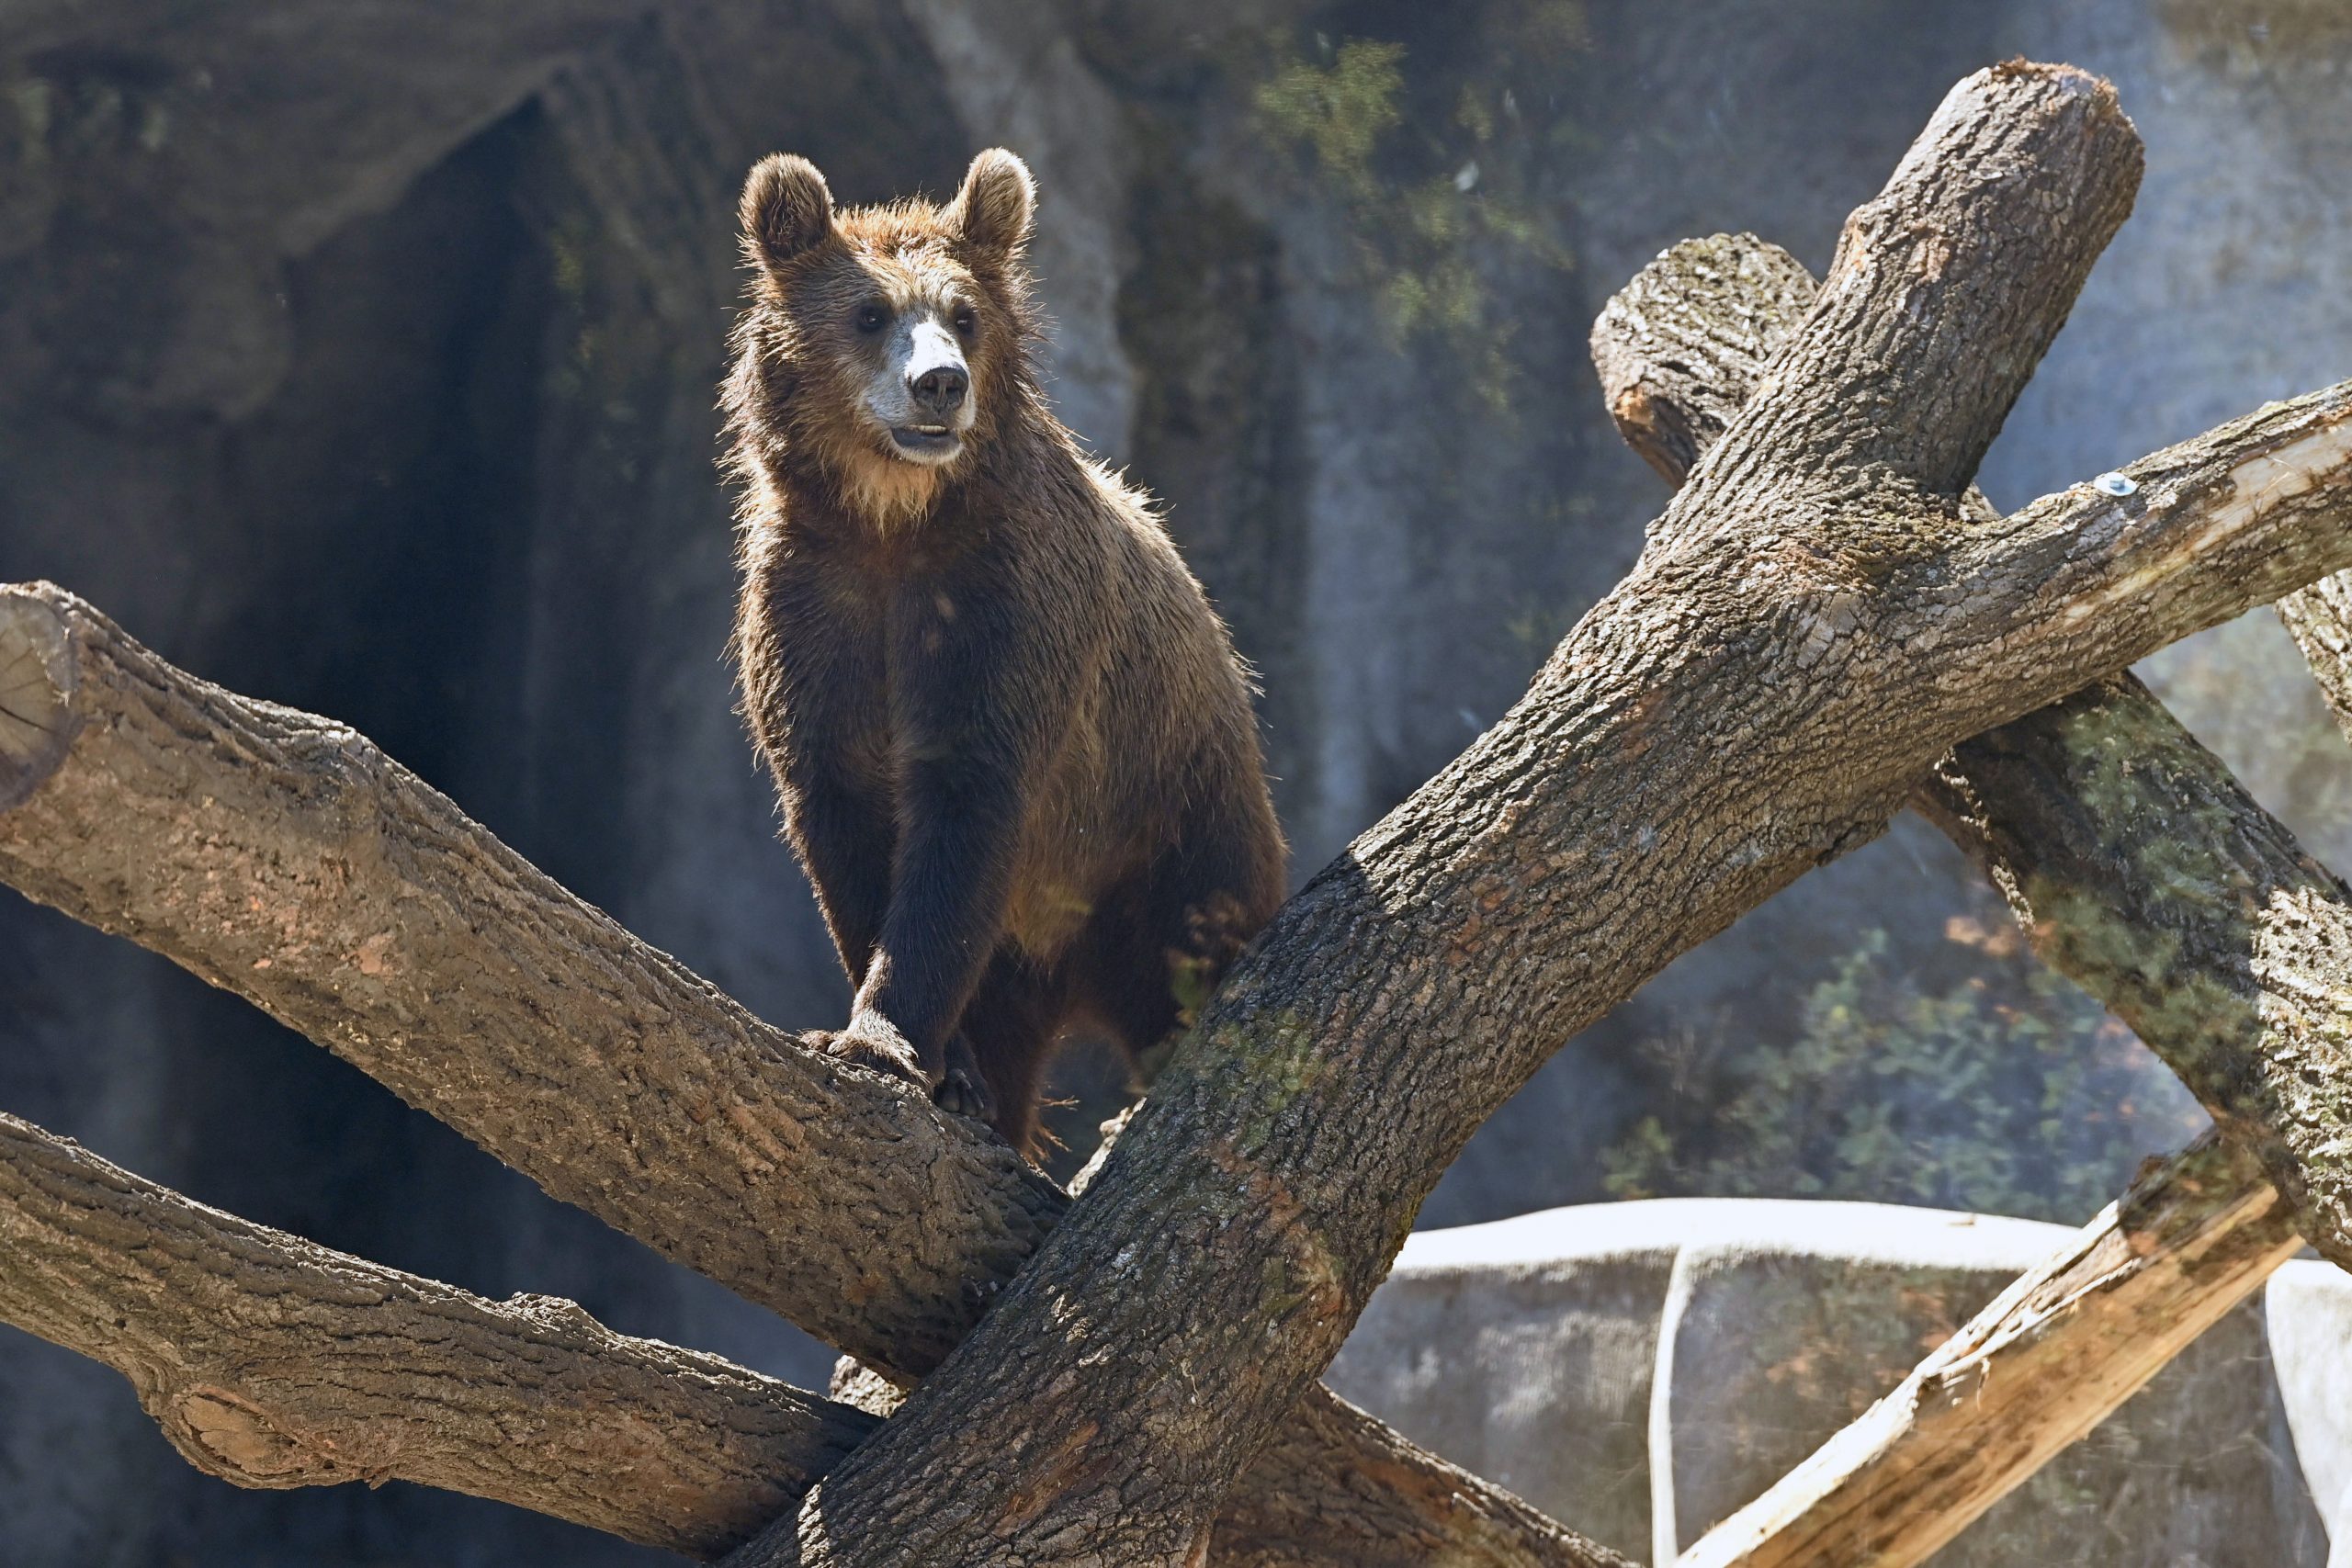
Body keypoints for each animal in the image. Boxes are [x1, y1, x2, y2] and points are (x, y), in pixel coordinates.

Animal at [729, 146, 1288, 1152]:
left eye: (963, 314)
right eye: (869, 313)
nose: (940, 384)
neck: (892, 525)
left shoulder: (1005, 608)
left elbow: (966, 802)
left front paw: (885, 1040)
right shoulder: (812, 612)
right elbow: (844, 816)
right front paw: (940, 1067)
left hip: (1165, 814)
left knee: (1187, 943)